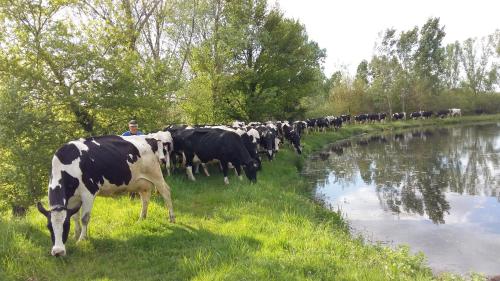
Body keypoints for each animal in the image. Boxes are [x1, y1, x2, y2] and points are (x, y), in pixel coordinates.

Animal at [36, 132, 176, 255]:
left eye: (65, 226)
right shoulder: (72, 199)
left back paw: (172, 218)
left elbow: (84, 218)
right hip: (141, 182)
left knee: (166, 192)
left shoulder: (88, 193)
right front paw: (75, 235)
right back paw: (141, 219)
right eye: (49, 227)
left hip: (155, 174)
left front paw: (82, 239)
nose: (58, 252)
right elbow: (75, 216)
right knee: (145, 198)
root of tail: (150, 137)